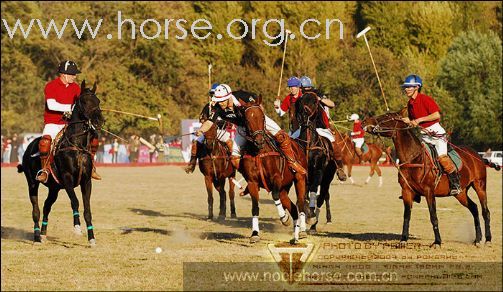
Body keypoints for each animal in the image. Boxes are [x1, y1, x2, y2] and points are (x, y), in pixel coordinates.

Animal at [17, 80, 104, 246]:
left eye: (98, 101)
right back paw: (37, 238)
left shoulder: (86, 181)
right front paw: (77, 228)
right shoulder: (67, 177)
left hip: (54, 188)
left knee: (46, 206)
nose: (99, 121)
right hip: (32, 183)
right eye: (84, 101)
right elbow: (75, 202)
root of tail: (29, 147)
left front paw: (92, 239)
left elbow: (87, 210)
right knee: (36, 210)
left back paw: (43, 234)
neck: (77, 145)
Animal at [237, 91, 310, 244]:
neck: (259, 152)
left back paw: (301, 232)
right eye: (246, 119)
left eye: (262, 116)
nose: (259, 141)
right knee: (293, 208)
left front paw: (284, 218)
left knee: (300, 205)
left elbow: (274, 195)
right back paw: (294, 235)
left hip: (299, 180)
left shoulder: (276, 177)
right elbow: (255, 207)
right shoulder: (252, 182)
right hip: (284, 188)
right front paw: (255, 234)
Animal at [296, 92, 338, 232]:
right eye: (302, 100)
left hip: (327, 178)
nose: (304, 113)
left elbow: (315, 191)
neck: (309, 145)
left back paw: (315, 223)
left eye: (315, 102)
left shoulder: (319, 171)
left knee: (323, 196)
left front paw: (311, 214)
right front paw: (304, 215)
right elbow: (303, 195)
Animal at [362, 109, 496, 246]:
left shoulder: (429, 191)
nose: (364, 121)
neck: (414, 157)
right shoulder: (406, 191)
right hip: (461, 193)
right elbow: (406, 216)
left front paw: (437, 242)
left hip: (480, 185)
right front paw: (403, 239)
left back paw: (488, 239)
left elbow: (433, 216)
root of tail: (478, 156)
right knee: (474, 208)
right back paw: (478, 239)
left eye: (387, 116)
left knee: (485, 211)